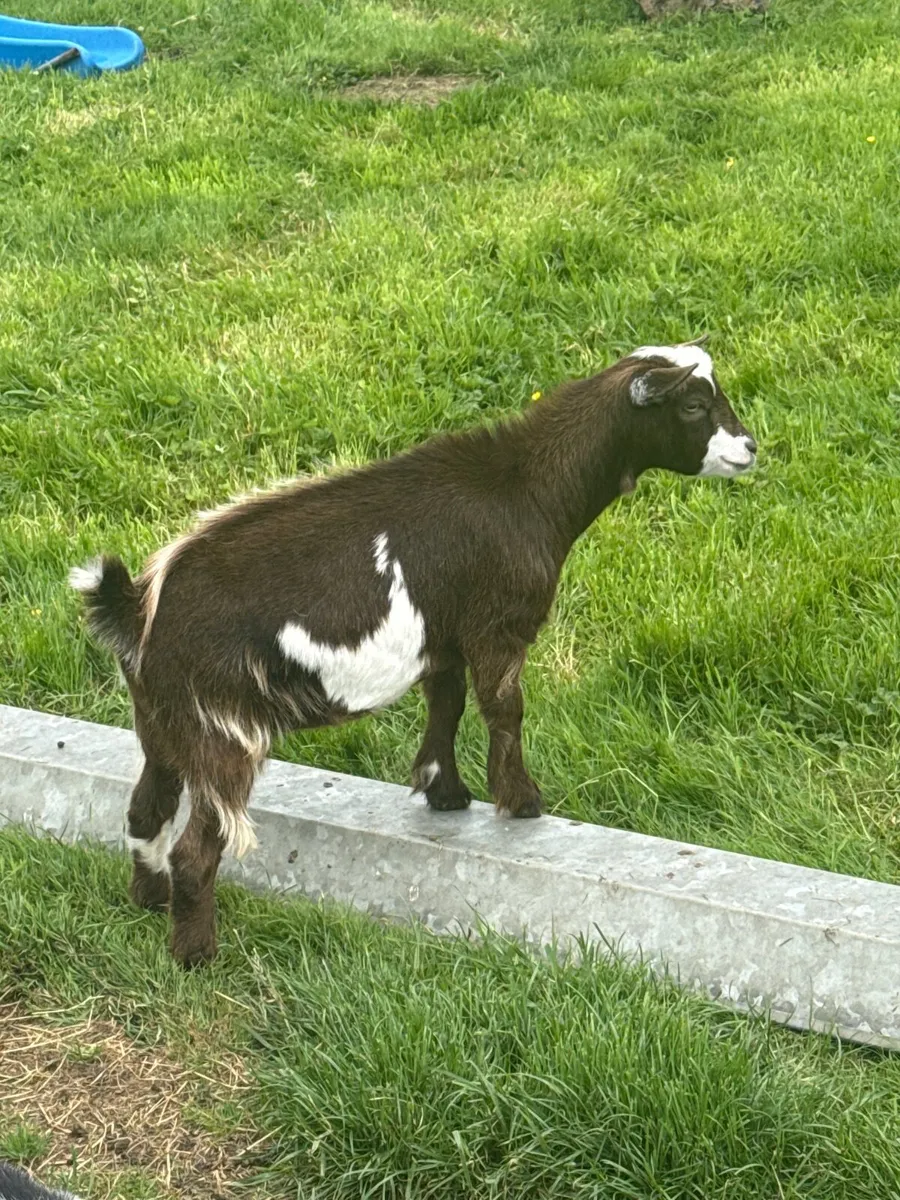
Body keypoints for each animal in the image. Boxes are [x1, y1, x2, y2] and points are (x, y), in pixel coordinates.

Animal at [71, 336, 757, 966]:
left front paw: (444, 792)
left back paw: (149, 900)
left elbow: (445, 705)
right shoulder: (497, 627)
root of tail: (139, 607)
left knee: (145, 810)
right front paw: (522, 802)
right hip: (222, 728)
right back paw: (197, 955)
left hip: (161, 722)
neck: (524, 488)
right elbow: (504, 709)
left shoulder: (444, 638)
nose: (749, 448)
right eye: (694, 404)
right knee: (196, 848)